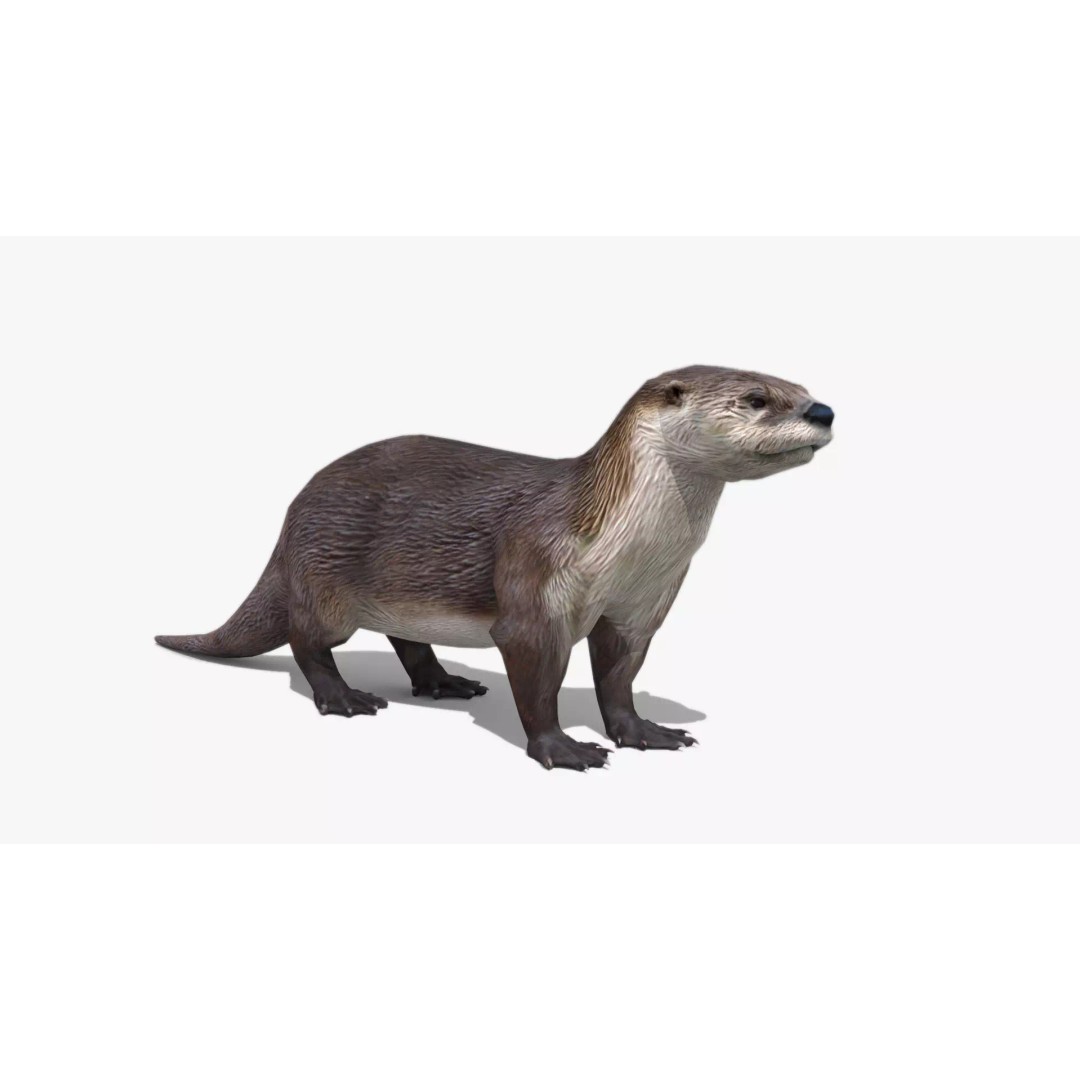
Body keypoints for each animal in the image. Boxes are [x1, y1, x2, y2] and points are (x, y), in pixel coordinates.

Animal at [157, 366, 833, 770]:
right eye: (758, 400)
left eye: (801, 389)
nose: (823, 411)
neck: (630, 548)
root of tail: (293, 512)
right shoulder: (538, 581)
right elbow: (537, 681)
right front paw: (561, 747)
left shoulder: (641, 606)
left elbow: (619, 675)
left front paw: (643, 730)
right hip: (327, 573)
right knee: (307, 639)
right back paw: (344, 696)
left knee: (405, 637)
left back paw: (442, 682)